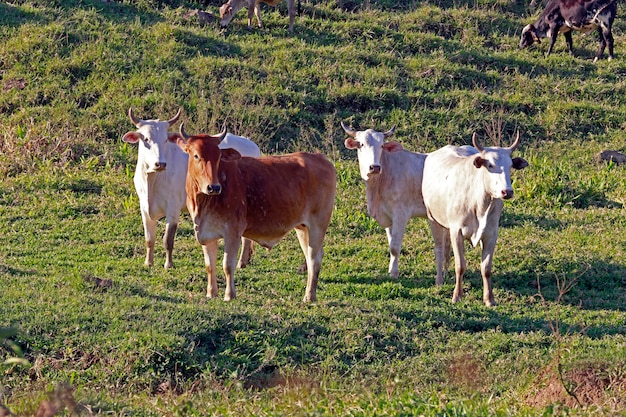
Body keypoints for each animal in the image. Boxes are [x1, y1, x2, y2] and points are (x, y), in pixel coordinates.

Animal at [123, 109, 260, 268]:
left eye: (165, 139)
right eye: (146, 139)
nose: (160, 163)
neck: (152, 180)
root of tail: (252, 145)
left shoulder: (173, 208)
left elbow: (168, 240)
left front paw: (168, 264)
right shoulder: (144, 208)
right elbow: (149, 239)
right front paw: (148, 262)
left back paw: (241, 262)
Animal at [176, 125, 334, 300]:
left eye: (218, 156)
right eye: (196, 155)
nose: (214, 187)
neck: (204, 202)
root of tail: (320, 158)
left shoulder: (233, 231)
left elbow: (227, 265)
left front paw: (229, 295)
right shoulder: (206, 233)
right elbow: (210, 265)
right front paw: (211, 293)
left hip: (317, 226)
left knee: (314, 258)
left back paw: (309, 296)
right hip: (303, 228)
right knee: (312, 255)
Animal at [420, 132, 528, 306]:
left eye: (510, 166)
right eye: (490, 165)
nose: (507, 191)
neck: (480, 204)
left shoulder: (491, 234)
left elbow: (486, 268)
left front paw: (489, 299)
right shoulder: (457, 232)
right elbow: (460, 266)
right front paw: (457, 296)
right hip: (433, 218)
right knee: (439, 248)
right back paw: (439, 279)